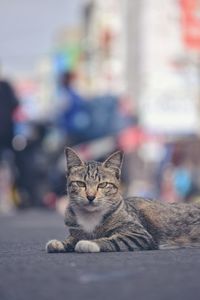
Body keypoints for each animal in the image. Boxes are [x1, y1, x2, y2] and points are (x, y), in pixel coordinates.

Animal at [45, 148, 200, 253]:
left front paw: (89, 243)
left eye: (103, 185)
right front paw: (60, 243)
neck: (90, 216)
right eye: (81, 184)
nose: (90, 196)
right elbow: (72, 238)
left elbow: (114, 239)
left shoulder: (138, 234)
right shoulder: (76, 230)